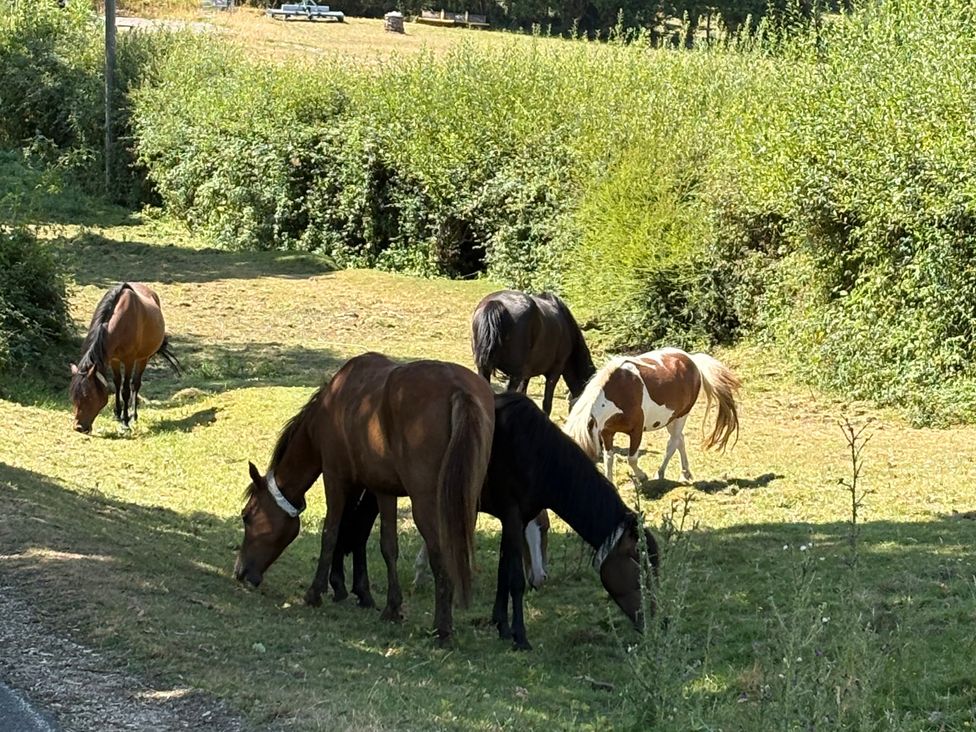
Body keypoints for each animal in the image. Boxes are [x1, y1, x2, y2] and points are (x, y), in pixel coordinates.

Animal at [69, 282, 181, 433]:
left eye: (88, 396)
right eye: (74, 397)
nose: (79, 427)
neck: (121, 322)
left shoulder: (128, 360)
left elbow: (125, 390)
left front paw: (125, 422)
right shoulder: (113, 359)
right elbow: (117, 384)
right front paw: (117, 414)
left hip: (143, 358)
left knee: (135, 384)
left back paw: (133, 415)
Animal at [234, 352, 494, 645]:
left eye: (247, 516)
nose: (240, 572)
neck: (334, 402)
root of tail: (458, 389)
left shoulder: (335, 479)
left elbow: (331, 533)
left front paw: (316, 592)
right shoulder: (382, 490)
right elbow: (384, 544)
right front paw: (387, 605)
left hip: (427, 506)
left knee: (441, 557)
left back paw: (442, 629)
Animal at [564, 348, 740, 483]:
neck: (619, 392)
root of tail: (691, 359)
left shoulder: (636, 431)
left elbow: (631, 459)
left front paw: (642, 476)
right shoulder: (607, 432)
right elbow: (609, 458)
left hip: (681, 416)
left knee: (673, 443)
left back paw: (660, 473)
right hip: (670, 419)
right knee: (680, 440)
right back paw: (685, 473)